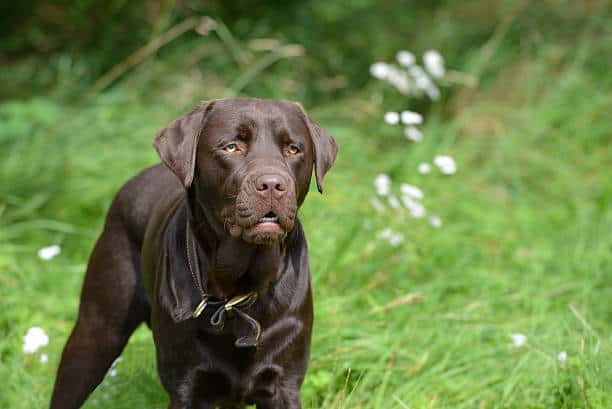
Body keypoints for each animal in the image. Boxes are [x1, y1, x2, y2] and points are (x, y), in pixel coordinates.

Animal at [49, 99, 338, 408]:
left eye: (293, 149)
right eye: (231, 147)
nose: (272, 184)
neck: (236, 294)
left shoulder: (284, 382)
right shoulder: (187, 386)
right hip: (96, 333)